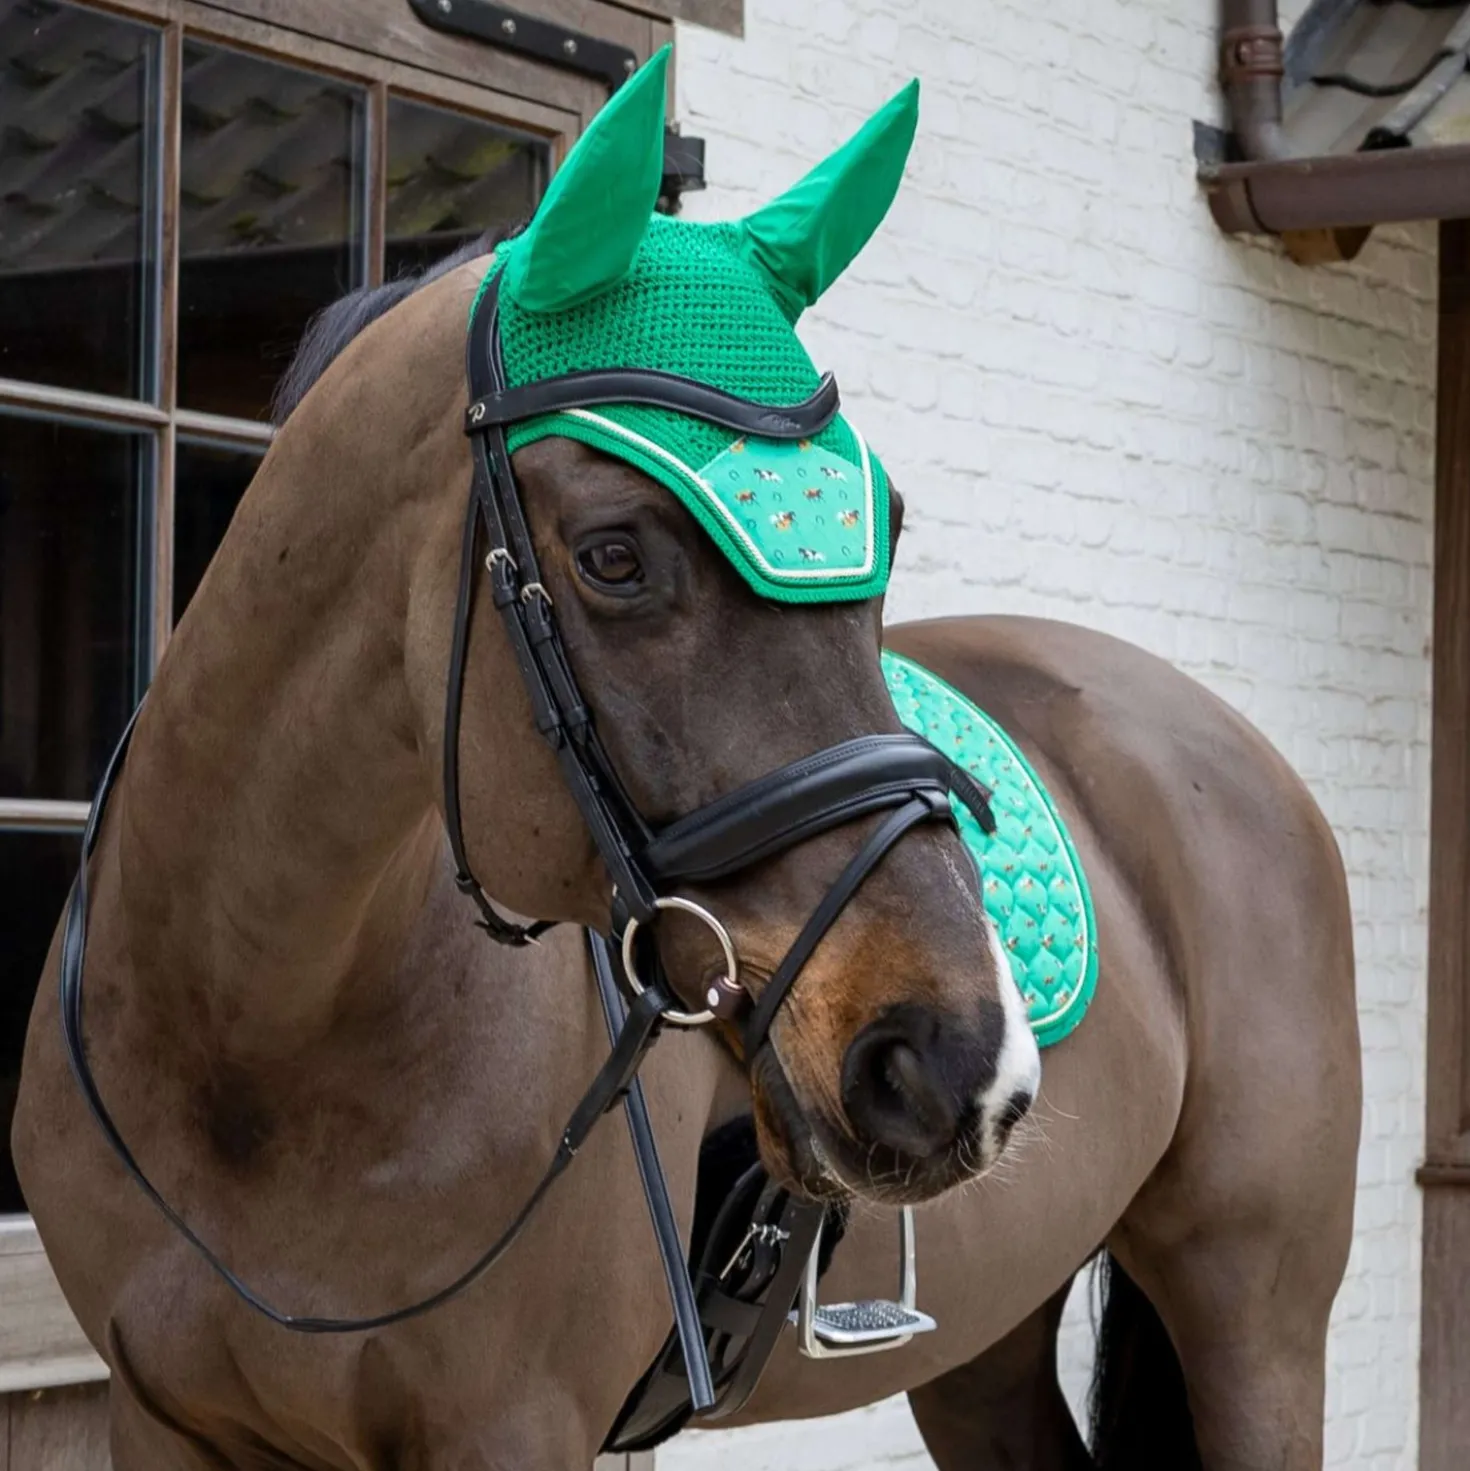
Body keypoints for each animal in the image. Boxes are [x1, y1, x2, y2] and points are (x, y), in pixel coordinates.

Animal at [12, 55, 1359, 1471]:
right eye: (613, 554)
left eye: (888, 525)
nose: (956, 1061)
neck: (252, 1047)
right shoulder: (166, 1420)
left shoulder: (512, 1431)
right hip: (986, 1343)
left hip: (1252, 1311)